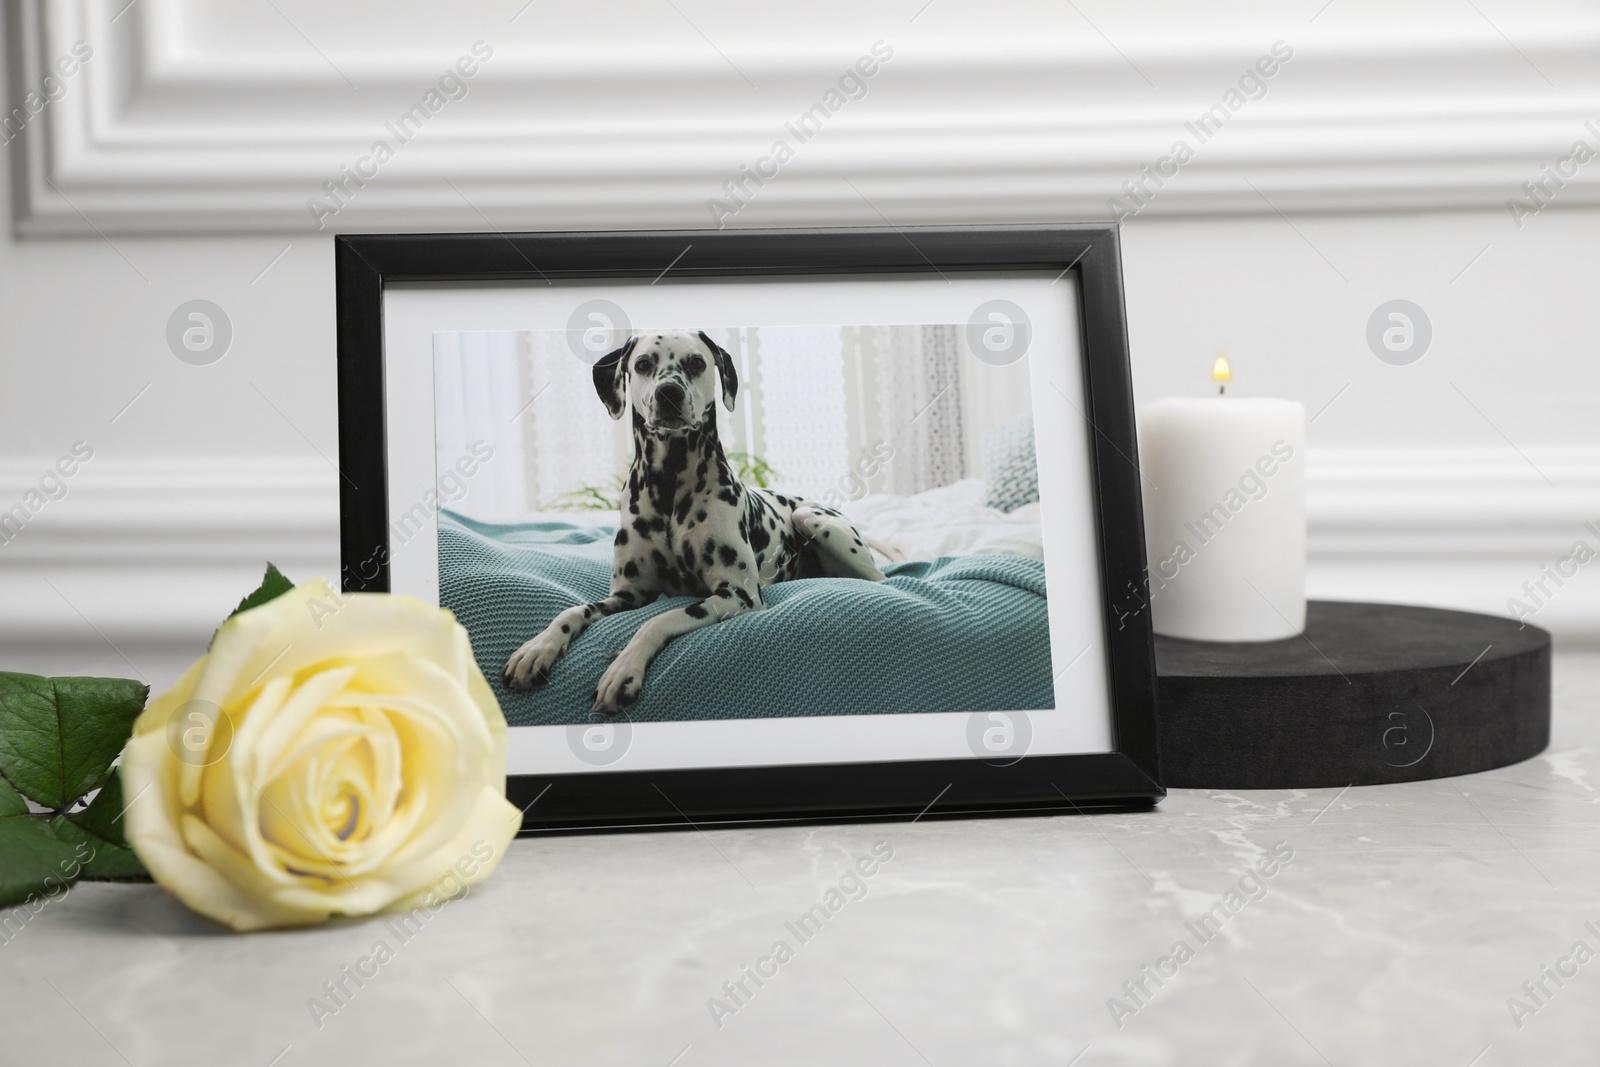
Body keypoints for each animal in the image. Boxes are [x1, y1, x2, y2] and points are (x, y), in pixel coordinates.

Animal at [499, 329, 902, 713]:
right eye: (643, 364)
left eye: (696, 362)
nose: (669, 393)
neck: (669, 483)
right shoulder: (628, 594)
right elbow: (573, 609)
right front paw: (537, 648)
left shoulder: (736, 594)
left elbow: (658, 619)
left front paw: (624, 668)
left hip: (815, 521)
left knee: (881, 579)